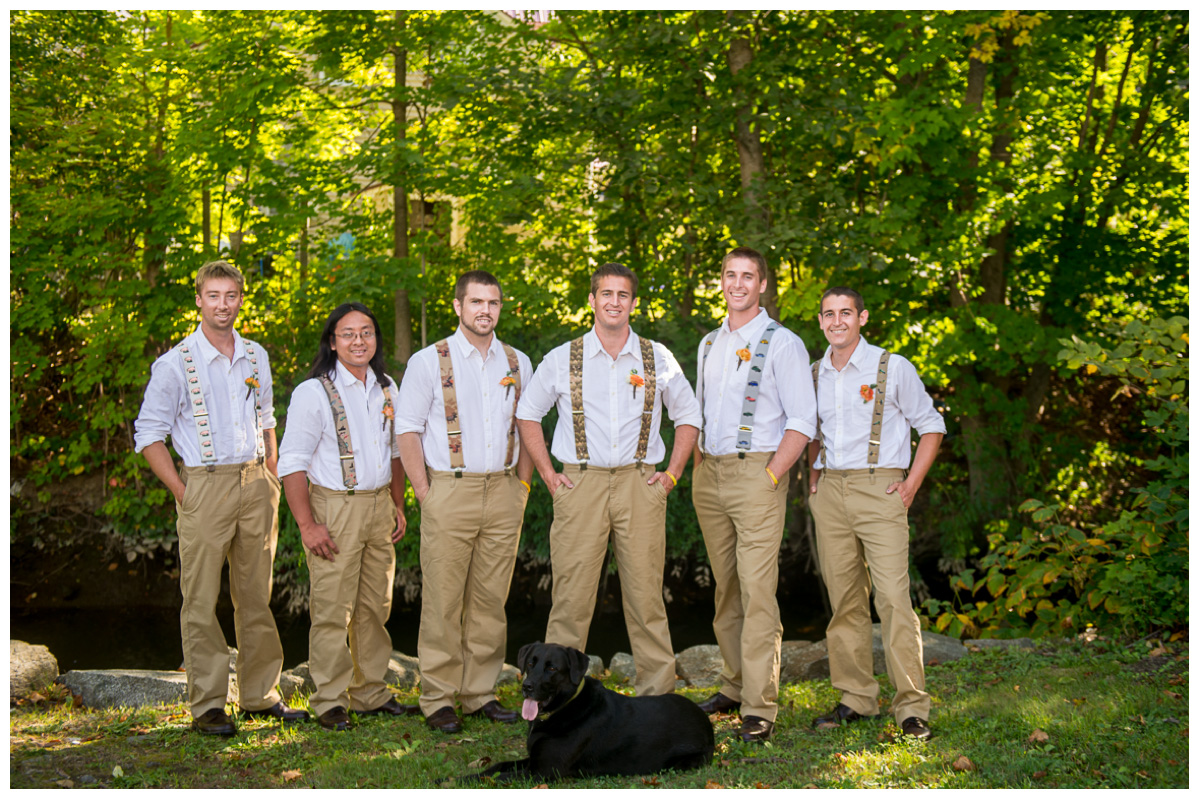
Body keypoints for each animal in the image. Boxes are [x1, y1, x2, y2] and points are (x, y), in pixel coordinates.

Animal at [468, 642, 710, 782]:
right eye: (530, 663)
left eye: (552, 668)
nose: (526, 687)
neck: (564, 707)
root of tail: (705, 718)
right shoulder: (533, 761)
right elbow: (497, 767)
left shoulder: (541, 771)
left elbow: (494, 779)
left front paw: (463, 780)